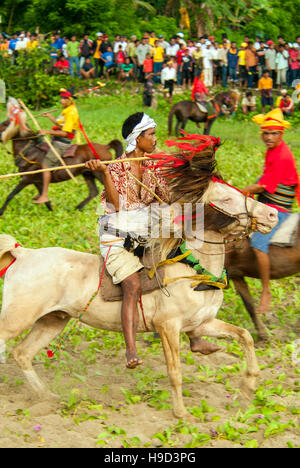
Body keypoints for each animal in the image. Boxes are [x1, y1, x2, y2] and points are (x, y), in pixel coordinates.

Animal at [0, 179, 278, 416]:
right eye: (227, 199)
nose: (272, 214)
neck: (192, 271)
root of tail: (24, 254)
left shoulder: (202, 324)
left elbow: (244, 336)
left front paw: (248, 388)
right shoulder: (168, 327)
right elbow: (175, 371)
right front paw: (181, 413)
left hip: (53, 320)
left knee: (22, 354)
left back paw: (47, 397)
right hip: (17, 319)